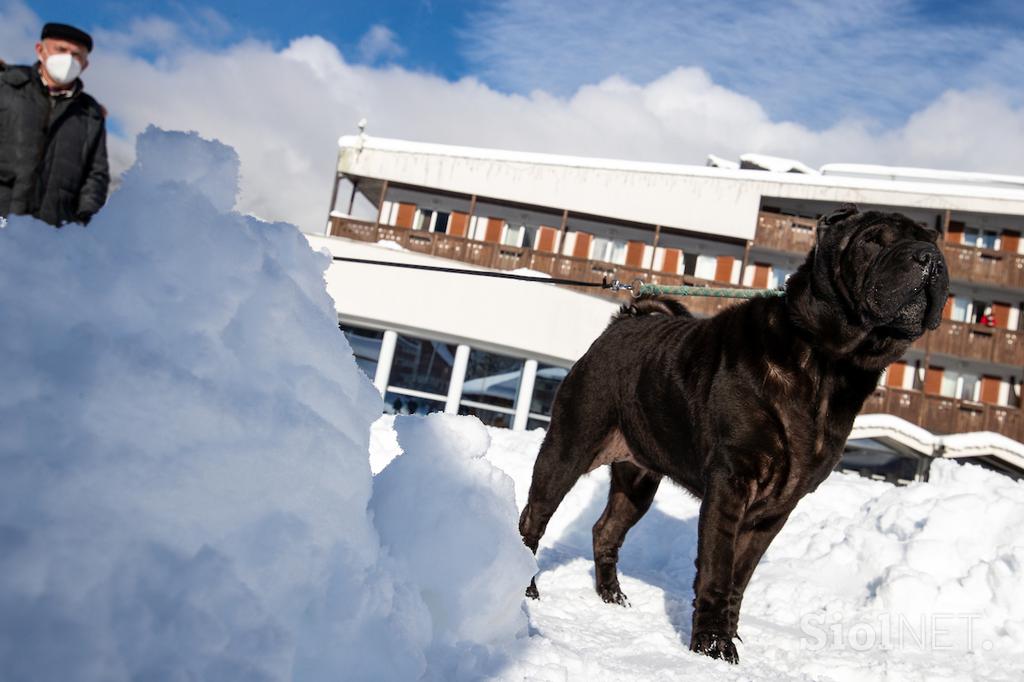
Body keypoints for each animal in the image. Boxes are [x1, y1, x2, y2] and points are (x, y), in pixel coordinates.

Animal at [520, 204, 950, 659]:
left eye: (931, 242)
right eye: (873, 241)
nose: (928, 257)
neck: (828, 366)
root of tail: (622, 322)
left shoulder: (776, 509)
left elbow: (739, 578)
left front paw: (726, 637)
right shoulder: (732, 481)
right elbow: (717, 569)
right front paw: (713, 646)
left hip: (638, 481)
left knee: (606, 530)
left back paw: (613, 598)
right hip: (567, 448)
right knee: (534, 518)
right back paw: (526, 585)